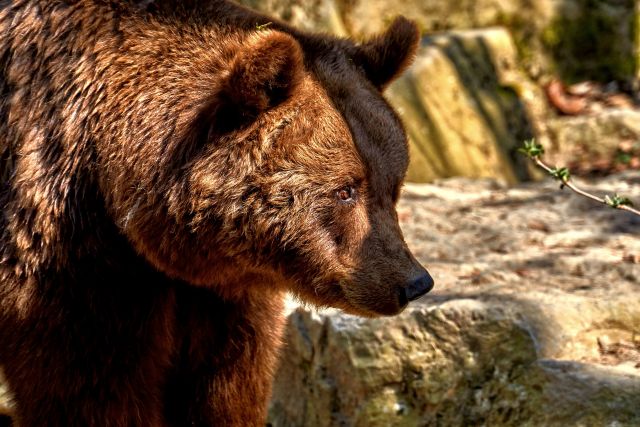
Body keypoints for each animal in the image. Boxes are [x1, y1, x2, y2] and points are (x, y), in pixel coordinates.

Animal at [0, 0, 436, 427]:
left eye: (393, 185)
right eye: (345, 190)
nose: (414, 282)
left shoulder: (223, 294)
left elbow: (228, 382)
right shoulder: (71, 253)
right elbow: (92, 382)